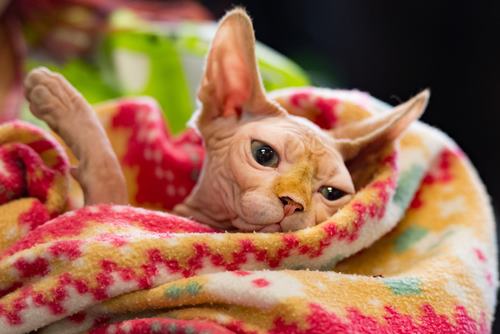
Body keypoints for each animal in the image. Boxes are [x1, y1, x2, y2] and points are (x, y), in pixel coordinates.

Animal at [24, 7, 430, 232]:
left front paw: (56, 95)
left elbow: (109, 176)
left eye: (332, 193)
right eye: (263, 155)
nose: (293, 204)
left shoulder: (105, 212)